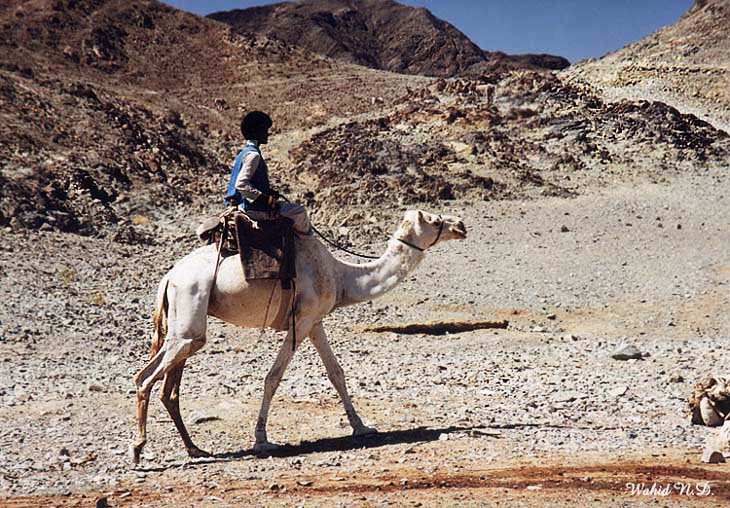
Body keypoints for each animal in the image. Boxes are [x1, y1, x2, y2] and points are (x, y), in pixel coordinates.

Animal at [129, 208, 466, 462]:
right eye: (435, 220)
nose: (461, 225)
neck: (342, 276)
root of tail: (169, 277)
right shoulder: (300, 321)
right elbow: (273, 377)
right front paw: (262, 439)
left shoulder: (315, 322)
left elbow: (336, 372)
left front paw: (361, 427)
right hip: (190, 311)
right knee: (147, 377)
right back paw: (138, 449)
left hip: (181, 324)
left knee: (166, 387)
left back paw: (194, 448)